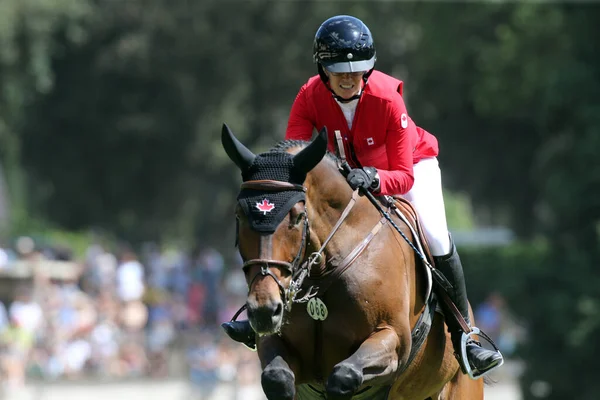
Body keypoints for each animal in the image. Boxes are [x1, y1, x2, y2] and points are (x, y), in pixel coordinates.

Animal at [220, 123, 482, 398]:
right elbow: (277, 377)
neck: (325, 266)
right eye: (239, 215)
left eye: (298, 216)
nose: (264, 310)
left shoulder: (394, 340)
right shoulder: (275, 340)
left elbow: (344, 375)